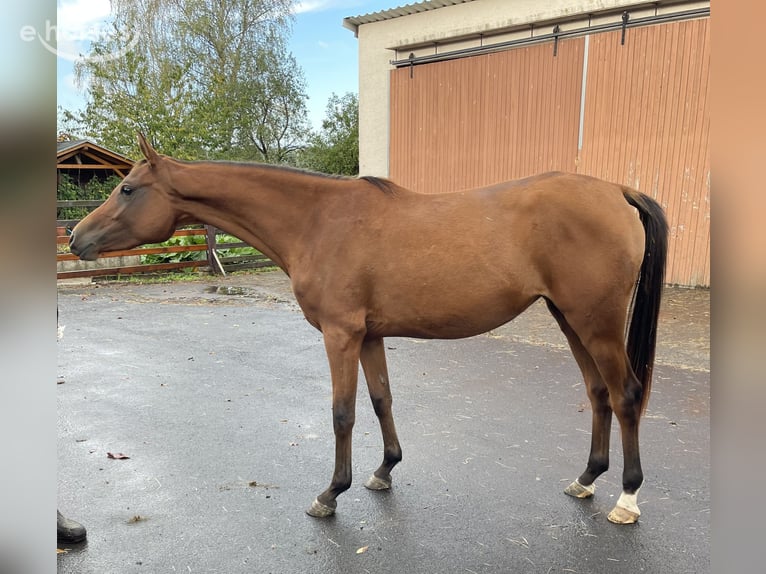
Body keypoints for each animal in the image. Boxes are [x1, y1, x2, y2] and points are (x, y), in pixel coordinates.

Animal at [69, 133, 668, 524]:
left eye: (127, 188)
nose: (76, 238)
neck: (317, 220)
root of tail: (616, 190)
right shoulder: (370, 335)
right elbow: (382, 400)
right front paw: (384, 470)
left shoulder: (340, 335)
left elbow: (342, 414)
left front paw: (331, 493)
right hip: (571, 321)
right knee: (599, 394)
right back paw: (586, 480)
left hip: (596, 323)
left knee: (626, 396)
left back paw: (627, 498)